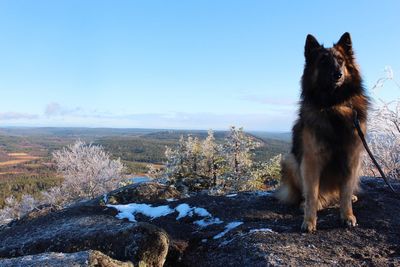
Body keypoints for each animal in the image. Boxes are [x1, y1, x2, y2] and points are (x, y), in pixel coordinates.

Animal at [278, 33, 368, 232]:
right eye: (323, 62)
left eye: (341, 61)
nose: (338, 74)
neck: (333, 105)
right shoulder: (311, 160)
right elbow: (311, 194)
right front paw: (309, 221)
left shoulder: (352, 157)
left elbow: (345, 191)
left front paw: (347, 216)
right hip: (291, 161)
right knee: (306, 194)